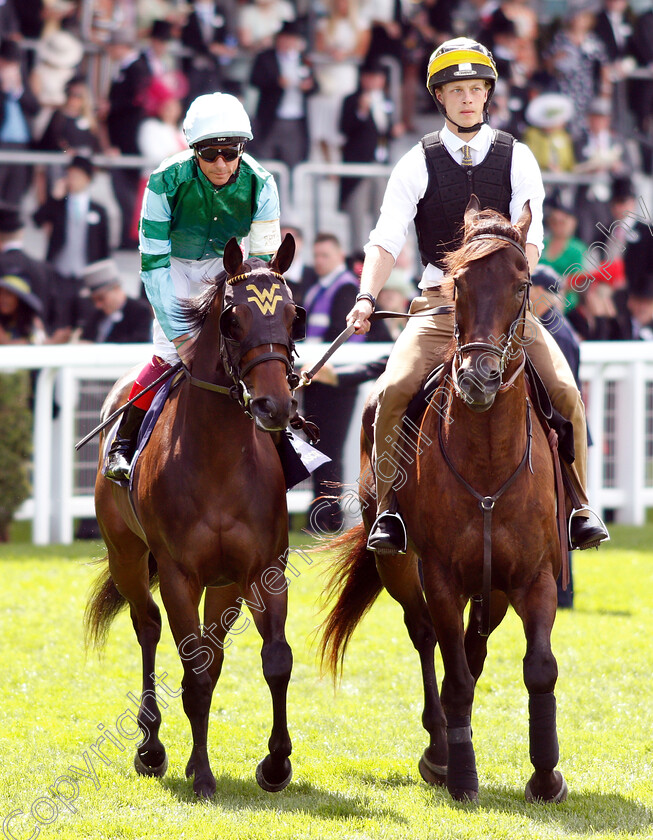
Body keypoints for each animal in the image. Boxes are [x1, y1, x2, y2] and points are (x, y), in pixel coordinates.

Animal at [83, 233, 304, 796]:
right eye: (231, 319)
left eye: (293, 315)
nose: (274, 407)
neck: (218, 459)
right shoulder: (179, 573)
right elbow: (193, 673)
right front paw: (201, 774)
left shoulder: (263, 570)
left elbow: (276, 660)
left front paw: (276, 764)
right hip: (127, 555)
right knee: (147, 627)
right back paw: (151, 748)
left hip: (223, 583)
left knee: (214, 647)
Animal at [320, 199, 564, 808]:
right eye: (458, 284)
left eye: (522, 283)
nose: (479, 378)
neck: (488, 463)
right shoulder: (443, 578)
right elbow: (452, 674)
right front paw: (460, 774)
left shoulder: (534, 577)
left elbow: (539, 668)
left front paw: (546, 775)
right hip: (401, 570)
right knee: (427, 635)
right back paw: (439, 748)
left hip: (493, 588)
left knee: (476, 646)